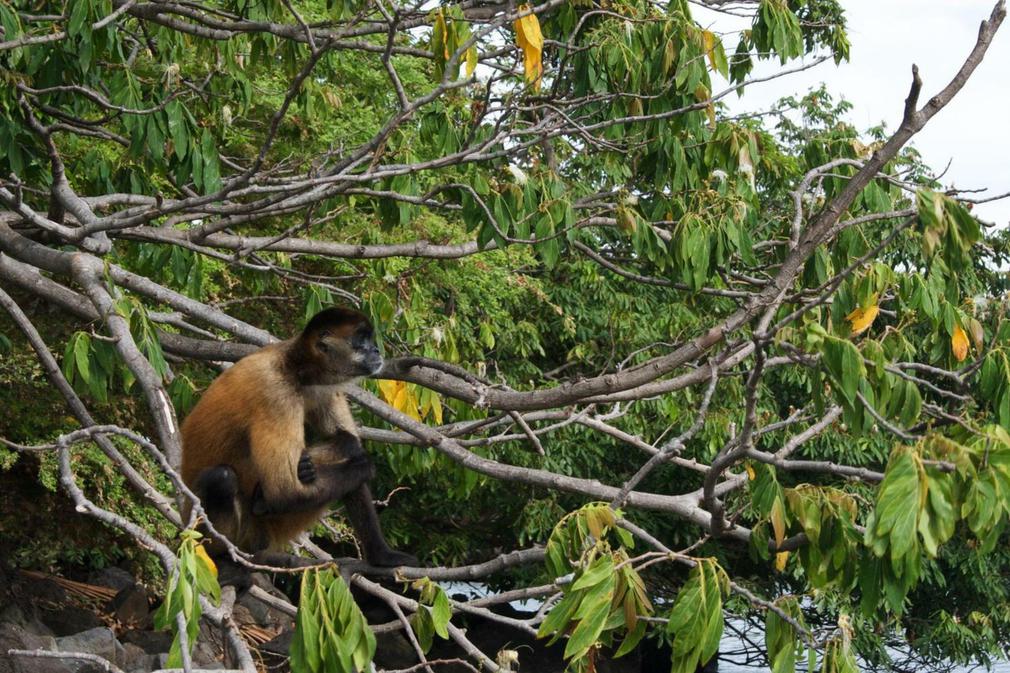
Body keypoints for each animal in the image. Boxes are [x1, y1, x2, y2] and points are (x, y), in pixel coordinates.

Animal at [181, 307, 418, 569]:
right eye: (361, 340)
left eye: (370, 339)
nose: (376, 350)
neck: (294, 366)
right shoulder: (276, 393)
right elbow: (285, 492)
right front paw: (364, 465)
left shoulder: (321, 386)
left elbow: (344, 438)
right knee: (221, 478)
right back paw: (222, 554)